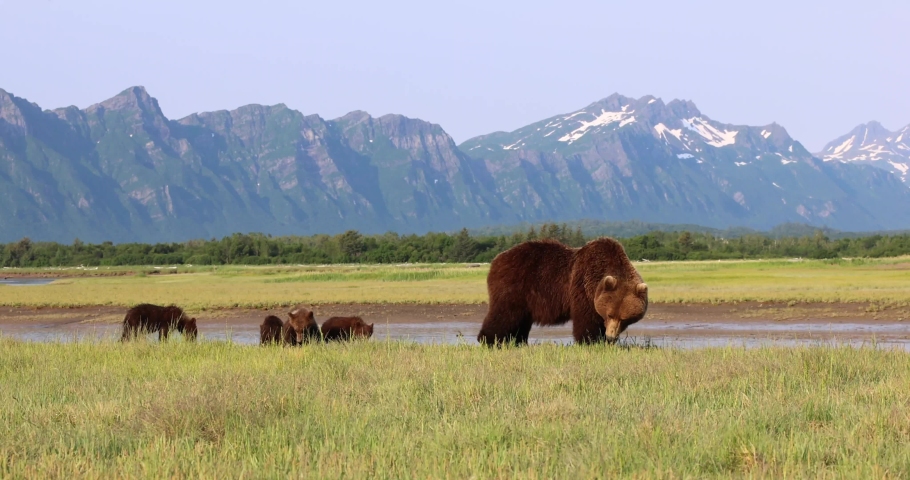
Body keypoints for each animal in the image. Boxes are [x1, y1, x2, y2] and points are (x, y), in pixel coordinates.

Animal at [477, 238, 648, 346]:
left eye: (625, 318)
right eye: (611, 314)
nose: (611, 337)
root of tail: (496, 260)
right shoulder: (582, 288)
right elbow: (586, 320)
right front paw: (591, 342)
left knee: (520, 320)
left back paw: (518, 342)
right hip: (514, 287)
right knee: (504, 314)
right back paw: (488, 340)